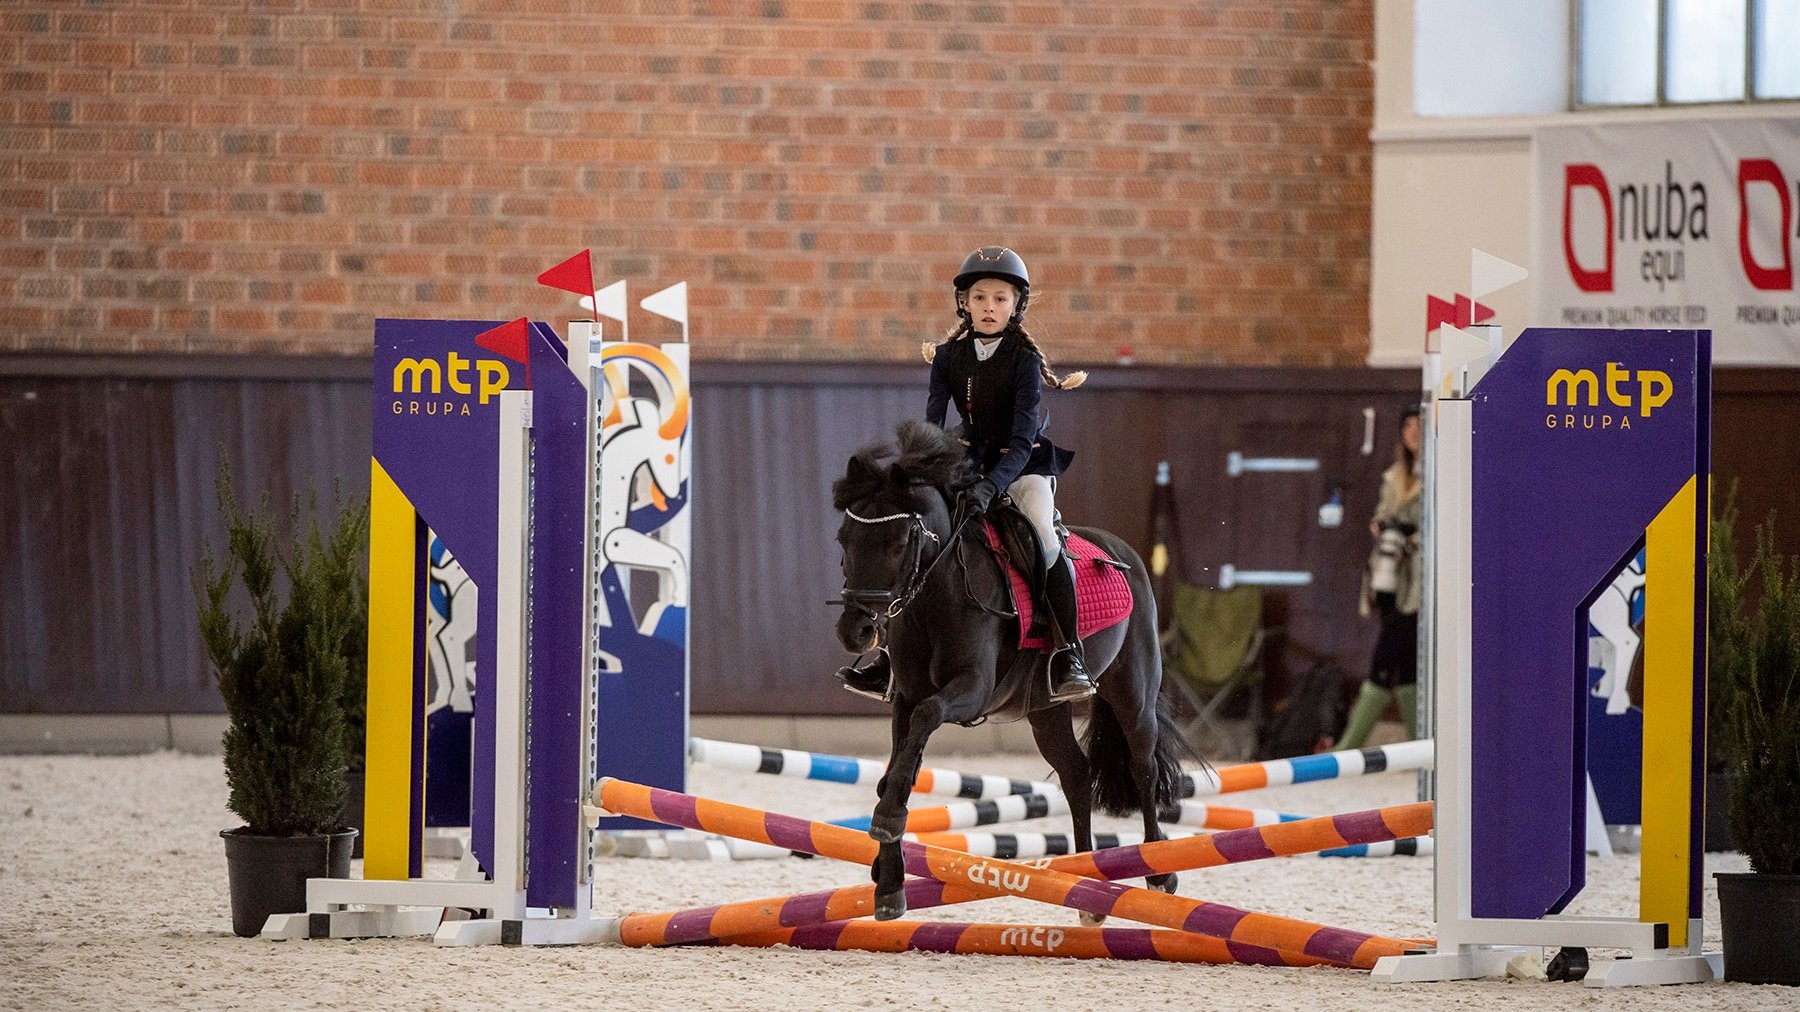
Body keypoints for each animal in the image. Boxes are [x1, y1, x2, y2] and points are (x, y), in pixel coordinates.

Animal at [831, 417, 1202, 914]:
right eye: (844, 541)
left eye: (897, 543)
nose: (854, 632)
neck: (935, 595)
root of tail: (1124, 551)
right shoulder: (905, 698)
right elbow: (899, 767)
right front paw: (888, 881)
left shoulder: (970, 688)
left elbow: (928, 718)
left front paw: (888, 822)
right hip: (1044, 710)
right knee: (1076, 774)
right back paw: (1086, 882)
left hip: (1133, 693)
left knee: (1143, 766)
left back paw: (1158, 870)